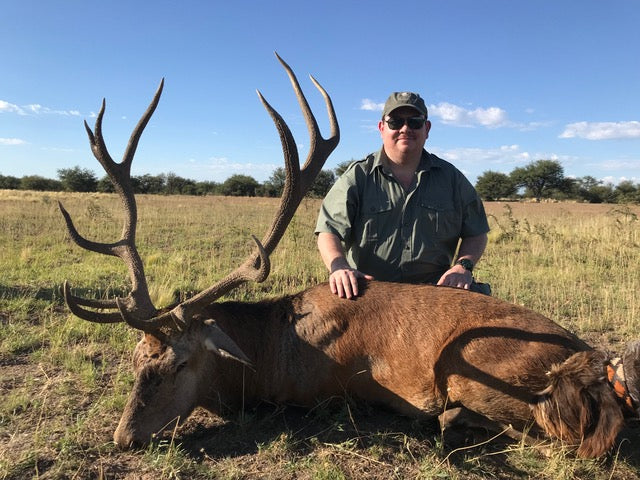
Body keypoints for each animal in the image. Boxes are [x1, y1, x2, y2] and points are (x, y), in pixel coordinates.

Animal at [59, 54, 640, 459]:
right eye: (137, 360)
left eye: (180, 363)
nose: (124, 437)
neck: (272, 351)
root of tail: (594, 367)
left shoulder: (314, 393)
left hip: (473, 366)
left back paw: (446, 419)